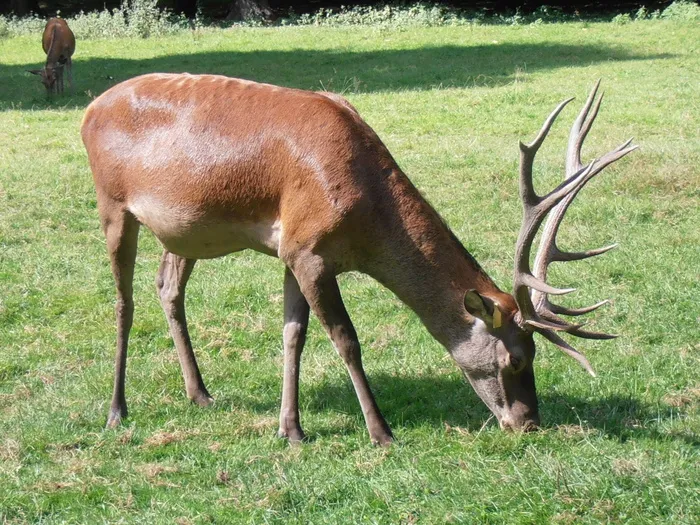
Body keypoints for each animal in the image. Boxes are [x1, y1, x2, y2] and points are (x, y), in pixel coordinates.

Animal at [81, 74, 636, 445]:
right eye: (516, 357)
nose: (528, 423)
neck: (365, 212)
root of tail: (87, 111)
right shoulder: (309, 250)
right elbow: (346, 339)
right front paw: (380, 430)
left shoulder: (292, 249)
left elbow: (293, 334)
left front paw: (291, 429)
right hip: (113, 205)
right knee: (123, 302)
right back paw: (116, 409)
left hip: (184, 233)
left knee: (167, 287)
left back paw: (200, 393)